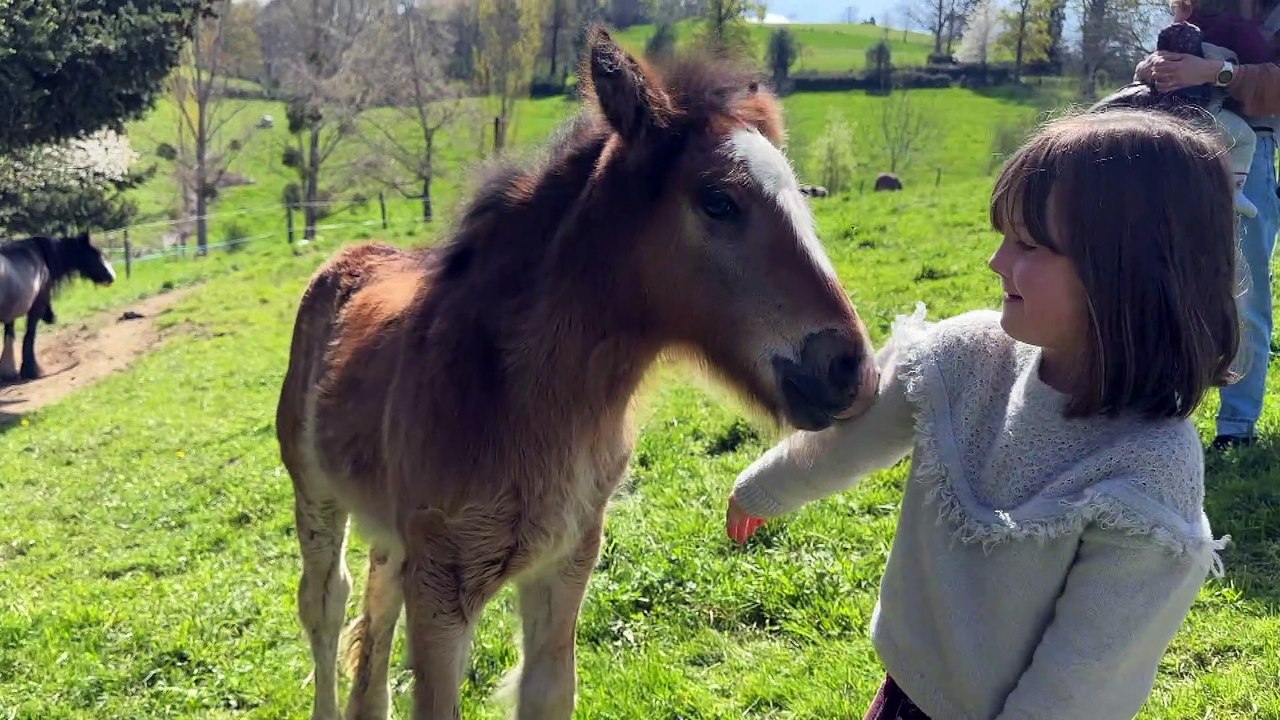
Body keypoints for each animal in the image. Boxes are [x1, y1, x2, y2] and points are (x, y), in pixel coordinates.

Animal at [0, 231, 116, 382]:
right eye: (96, 253)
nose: (111, 276)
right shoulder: (36, 306)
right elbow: (29, 335)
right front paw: (30, 371)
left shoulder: (11, 313)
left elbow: (9, 335)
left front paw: (8, 371)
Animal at [275, 27, 880, 720]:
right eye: (718, 202)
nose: (851, 367)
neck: (524, 401)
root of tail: (346, 258)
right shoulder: (441, 590)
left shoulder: (563, 568)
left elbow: (548, 690)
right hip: (317, 495)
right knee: (327, 607)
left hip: (391, 532)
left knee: (374, 621)